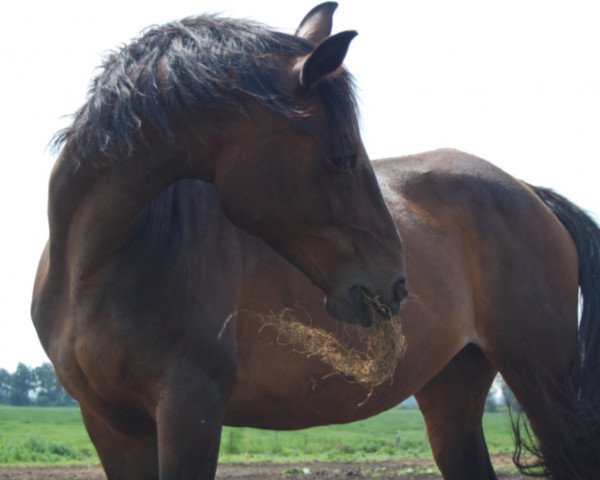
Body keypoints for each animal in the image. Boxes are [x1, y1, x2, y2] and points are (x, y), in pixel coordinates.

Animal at [31, 3, 600, 480]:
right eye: (345, 157)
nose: (396, 285)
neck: (94, 265)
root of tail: (530, 192)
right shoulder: (110, 423)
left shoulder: (189, 411)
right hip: (452, 390)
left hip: (541, 381)